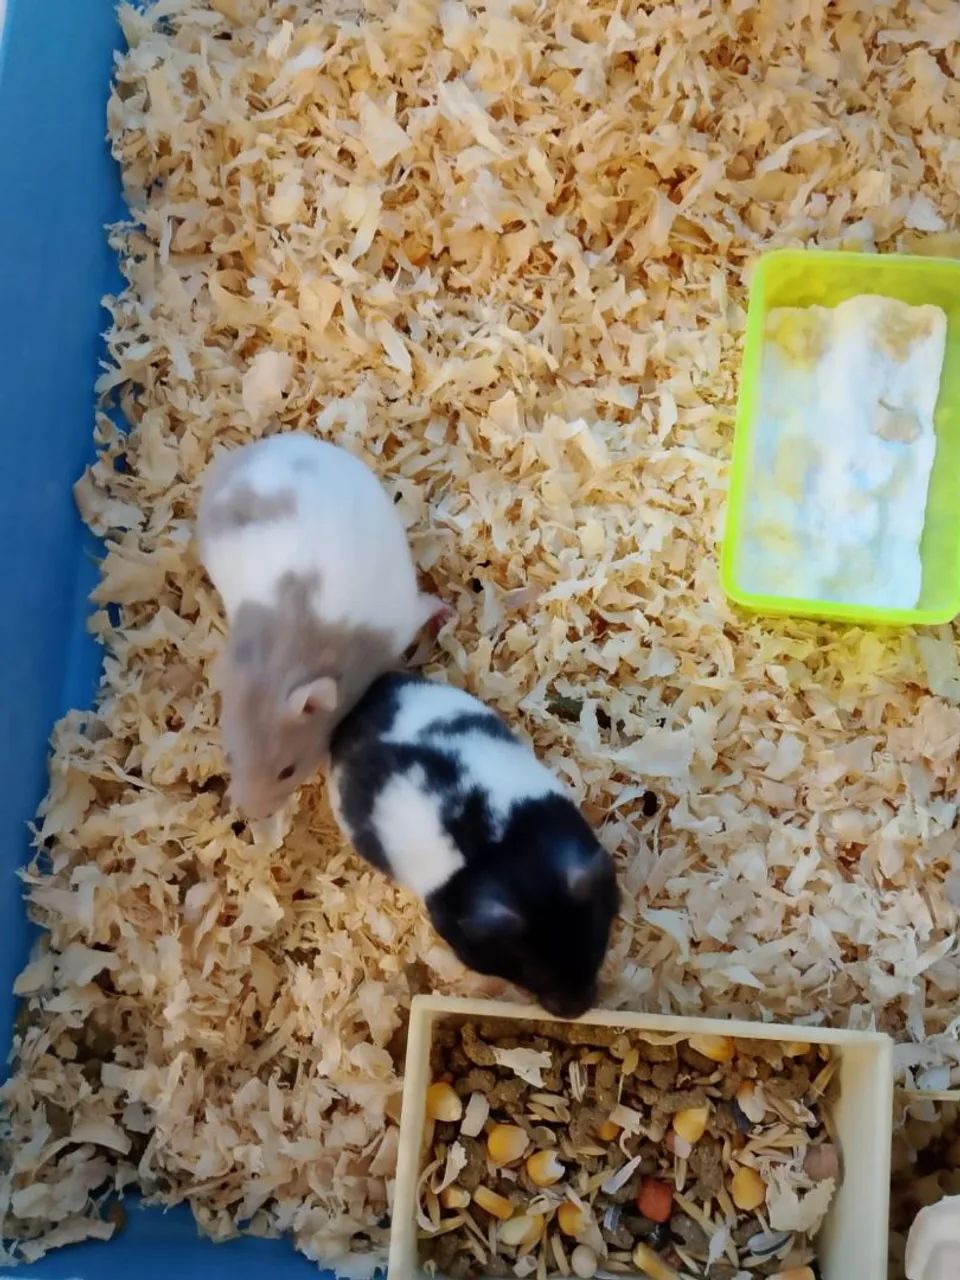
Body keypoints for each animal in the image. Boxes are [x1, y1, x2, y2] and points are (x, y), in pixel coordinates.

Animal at [196, 433, 444, 820]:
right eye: (229, 756)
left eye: (288, 771)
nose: (253, 815)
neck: (281, 663)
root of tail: (258, 449)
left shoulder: (401, 622)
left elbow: (427, 607)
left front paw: (446, 615)